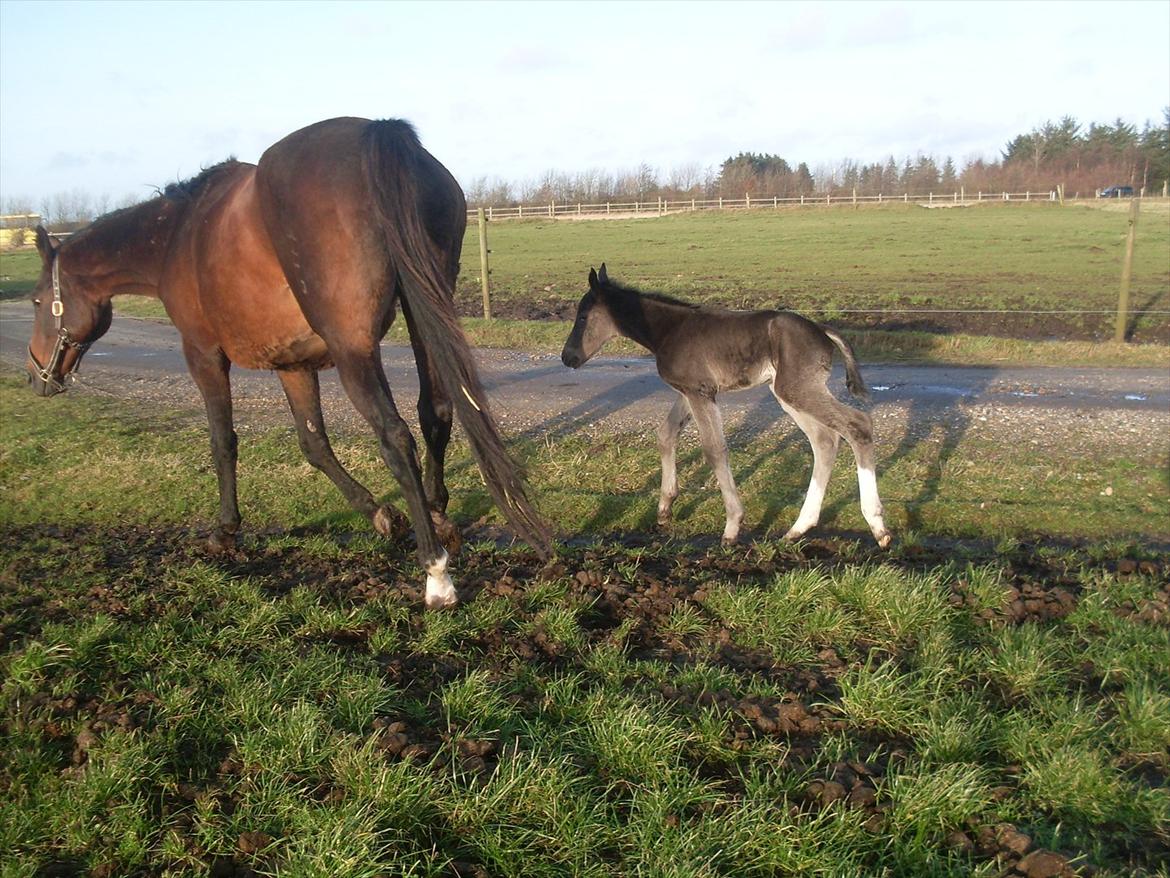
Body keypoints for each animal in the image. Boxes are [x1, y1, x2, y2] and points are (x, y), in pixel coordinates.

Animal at [25, 117, 549, 608]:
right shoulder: (293, 365)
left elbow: (223, 442)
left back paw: (436, 574)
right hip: (424, 312)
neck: (177, 236)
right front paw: (384, 517)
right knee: (435, 412)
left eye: (36, 301)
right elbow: (314, 445)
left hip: (354, 350)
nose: (36, 377)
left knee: (396, 436)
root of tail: (378, 135)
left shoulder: (203, 354)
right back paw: (440, 521)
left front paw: (225, 530)